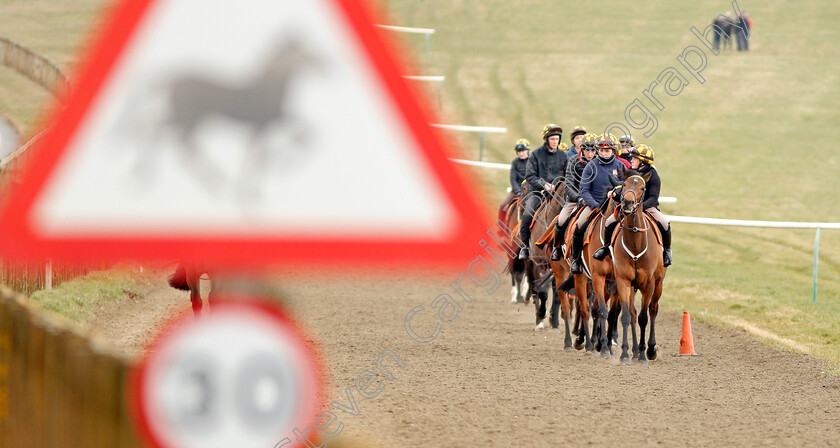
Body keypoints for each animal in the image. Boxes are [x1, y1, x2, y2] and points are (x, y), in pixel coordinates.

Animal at [612, 173, 668, 366]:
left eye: (642, 188)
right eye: (624, 184)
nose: (628, 203)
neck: (636, 244)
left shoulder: (648, 284)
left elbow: (644, 317)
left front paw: (645, 354)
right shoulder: (623, 281)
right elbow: (626, 316)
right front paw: (625, 354)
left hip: (658, 284)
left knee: (653, 310)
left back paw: (649, 350)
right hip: (632, 287)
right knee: (633, 313)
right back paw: (635, 351)